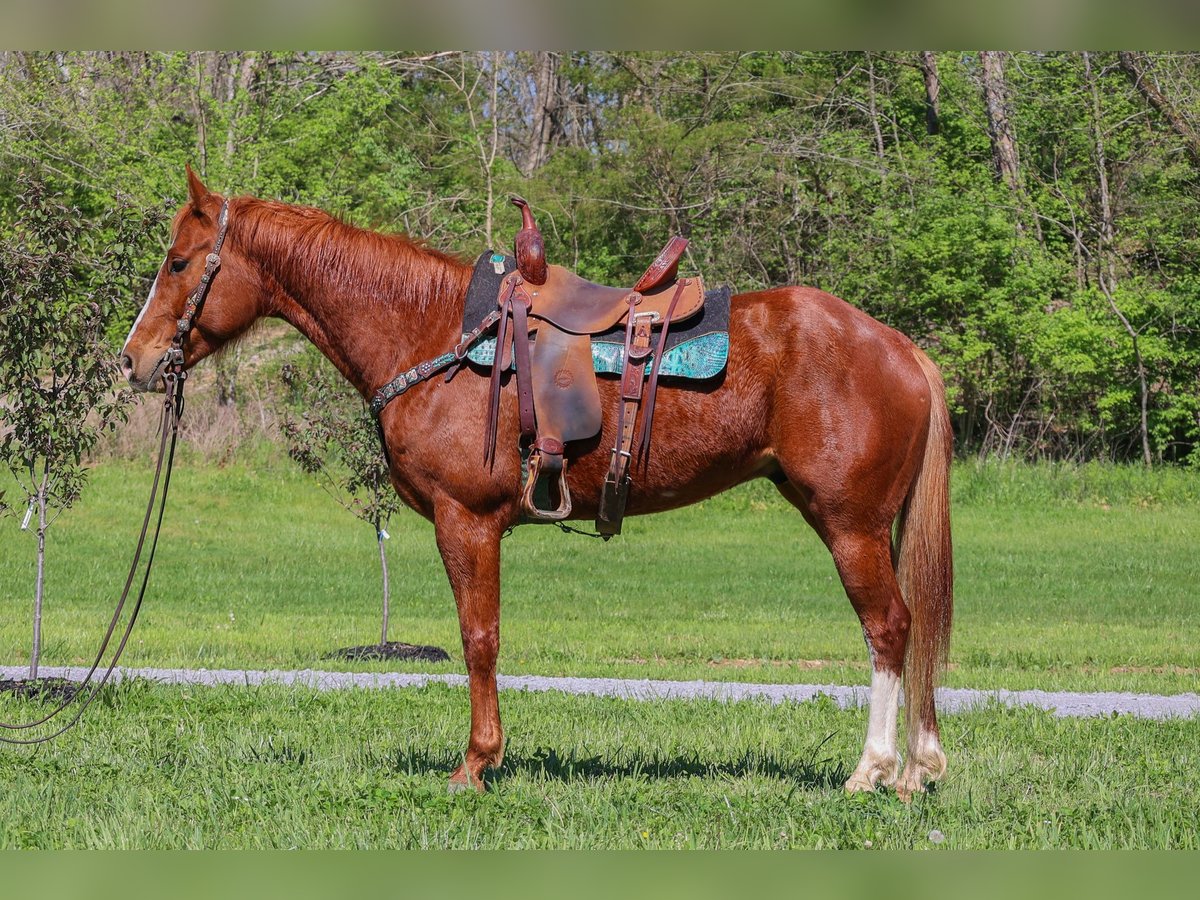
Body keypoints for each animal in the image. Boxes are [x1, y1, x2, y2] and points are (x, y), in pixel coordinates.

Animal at [117, 172, 950, 801]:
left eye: (180, 262)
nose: (133, 359)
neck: (433, 333)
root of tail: (901, 348)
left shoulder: (467, 520)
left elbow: (478, 638)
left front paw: (476, 763)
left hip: (850, 525)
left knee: (889, 629)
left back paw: (874, 772)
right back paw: (916, 771)